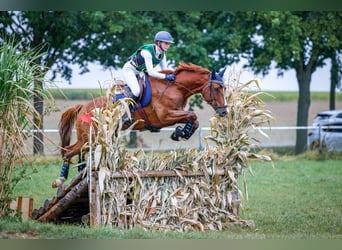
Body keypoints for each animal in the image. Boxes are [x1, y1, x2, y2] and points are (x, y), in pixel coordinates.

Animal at [52, 62, 228, 188]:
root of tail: (82, 107)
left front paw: (181, 133)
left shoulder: (176, 113)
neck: (175, 87)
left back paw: (81, 173)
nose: (224, 111)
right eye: (216, 88)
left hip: (95, 138)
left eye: (224, 88)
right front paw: (180, 133)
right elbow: (192, 115)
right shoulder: (164, 117)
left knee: (79, 152)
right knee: (68, 152)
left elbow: (194, 119)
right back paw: (59, 180)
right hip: (91, 138)